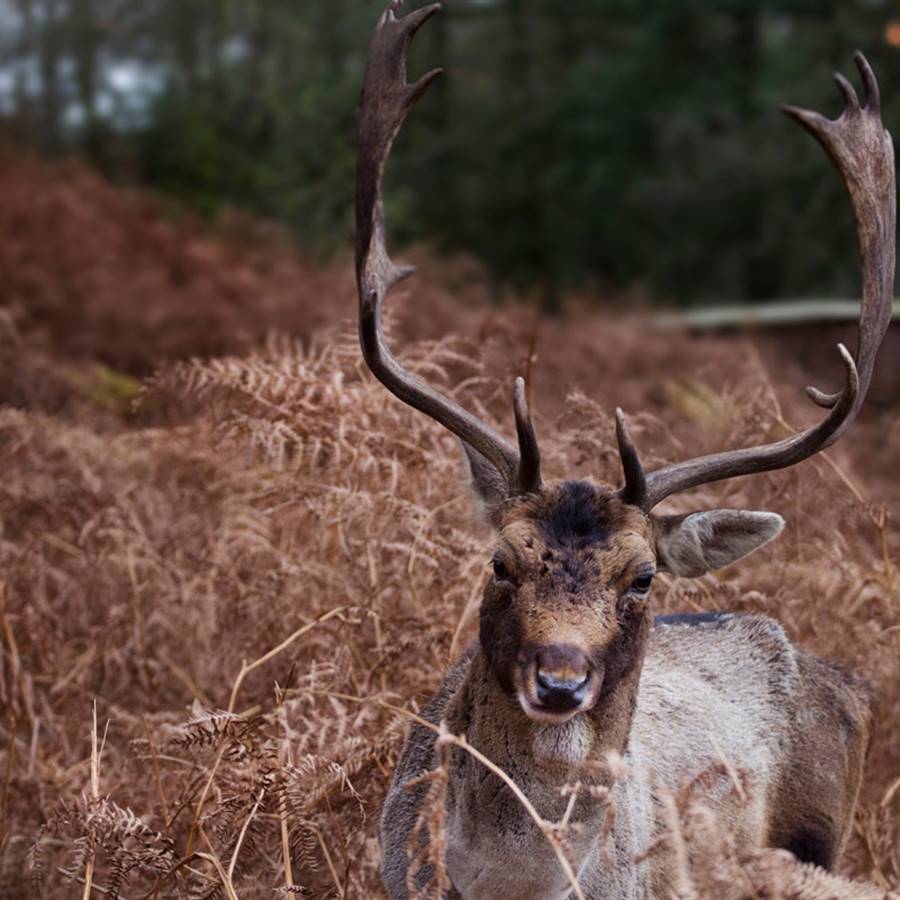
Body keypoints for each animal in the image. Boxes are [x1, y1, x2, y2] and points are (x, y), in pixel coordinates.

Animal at [356, 3, 896, 896]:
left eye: (641, 577)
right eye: (501, 561)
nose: (560, 679)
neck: (509, 887)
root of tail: (846, 679)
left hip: (826, 836)